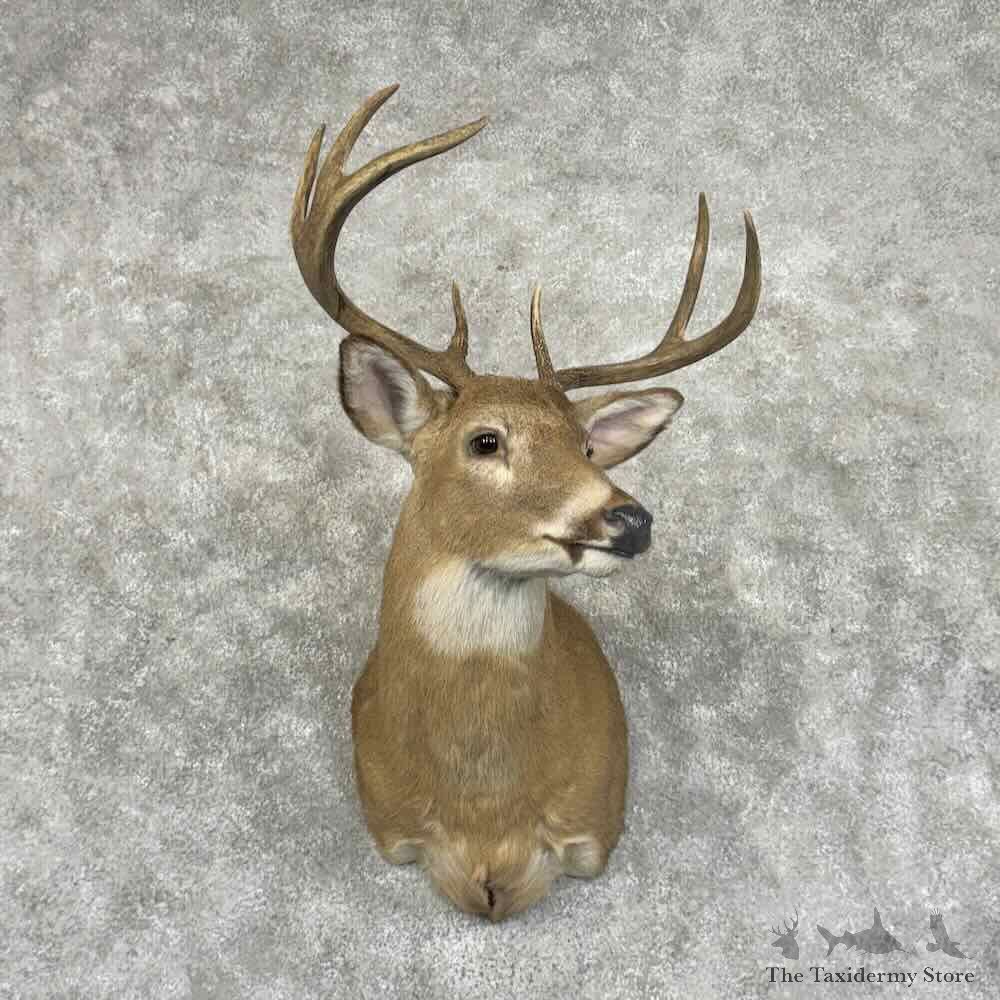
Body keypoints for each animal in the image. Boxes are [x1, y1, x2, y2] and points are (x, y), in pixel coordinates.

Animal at [290, 84, 761, 922]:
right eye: (484, 441)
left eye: (586, 446)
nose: (630, 518)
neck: (486, 813)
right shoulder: (390, 824)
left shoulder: (592, 828)